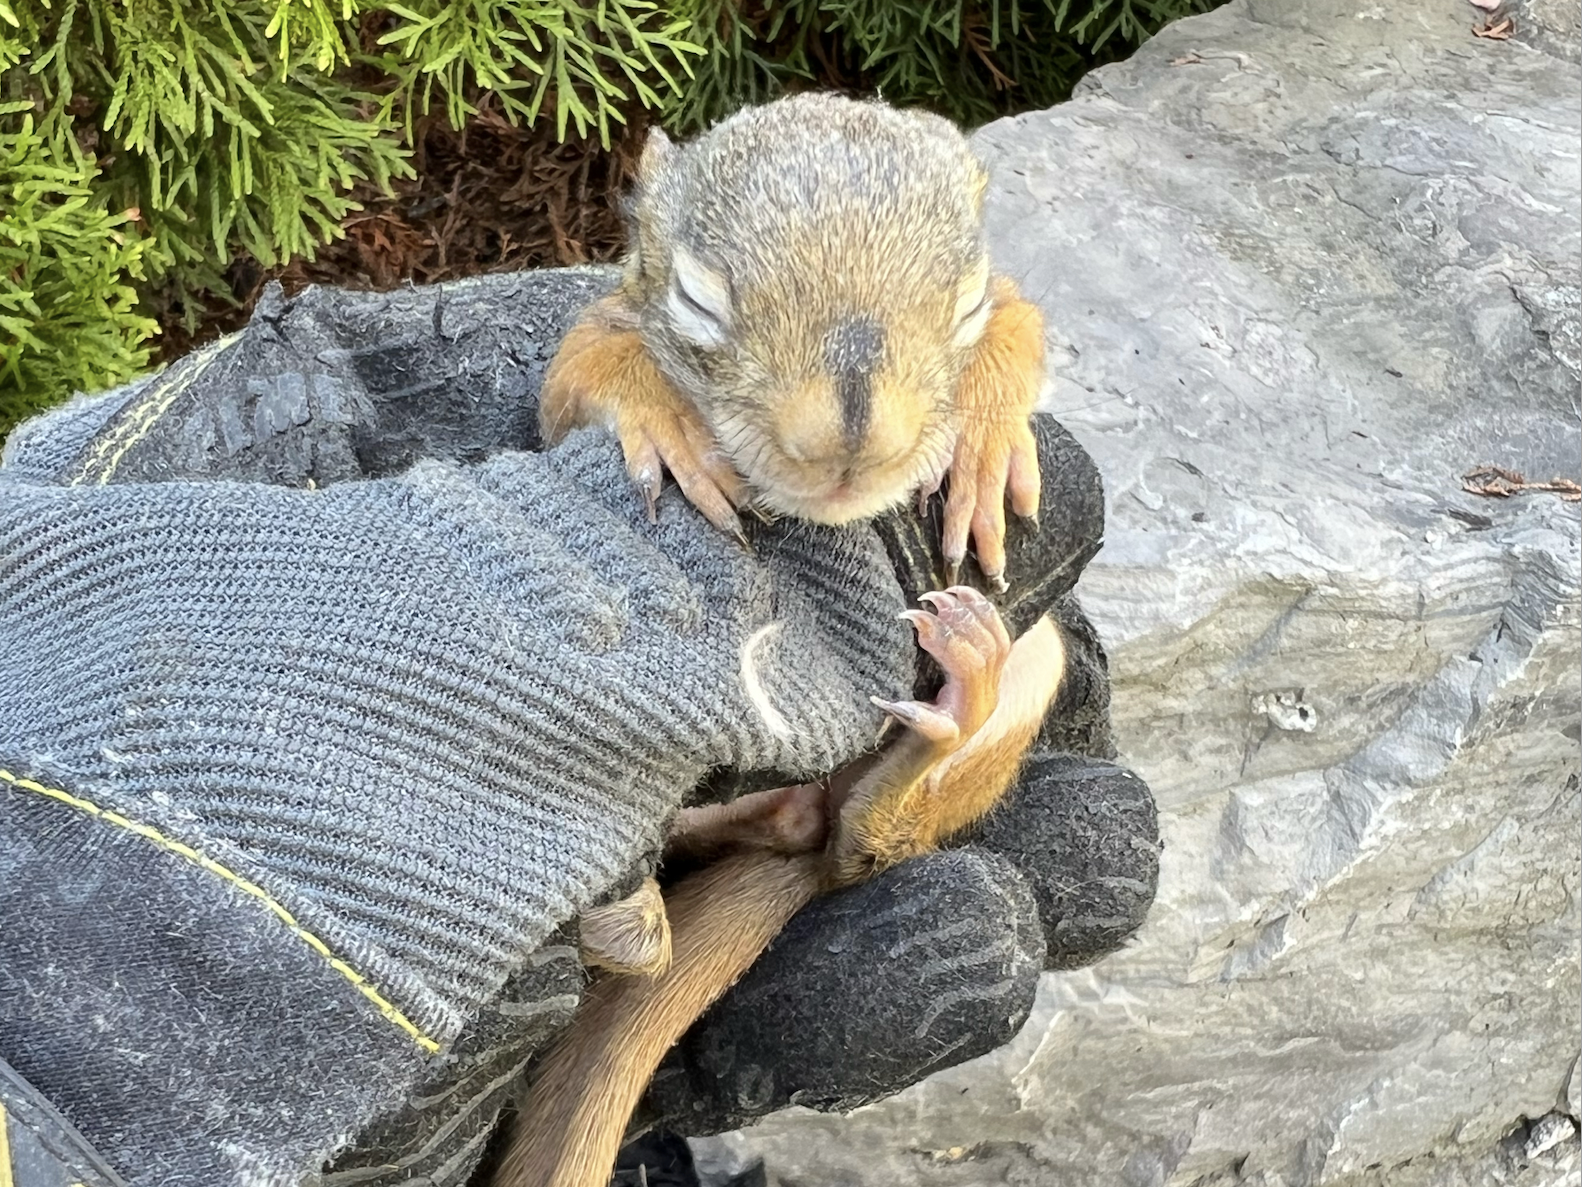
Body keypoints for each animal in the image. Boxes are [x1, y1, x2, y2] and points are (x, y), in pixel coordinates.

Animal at [487, 95, 1069, 1187]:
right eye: (696, 299)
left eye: (963, 300)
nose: (846, 438)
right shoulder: (598, 323)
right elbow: (588, 370)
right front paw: (667, 424)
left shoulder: (1013, 304)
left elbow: (1026, 326)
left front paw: (983, 438)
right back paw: (629, 912)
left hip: (1036, 661)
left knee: (854, 847)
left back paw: (952, 703)